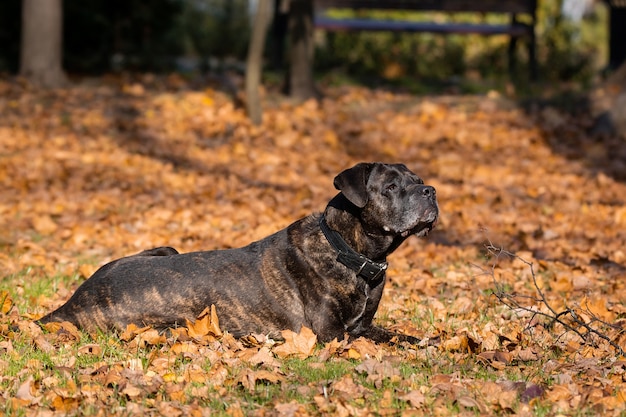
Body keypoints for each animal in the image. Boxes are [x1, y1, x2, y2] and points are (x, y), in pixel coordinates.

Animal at [40, 162, 438, 342]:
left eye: (418, 182)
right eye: (390, 187)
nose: (430, 191)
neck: (348, 249)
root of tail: (71, 303)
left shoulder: (364, 325)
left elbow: (401, 337)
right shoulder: (331, 333)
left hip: (165, 249)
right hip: (170, 326)